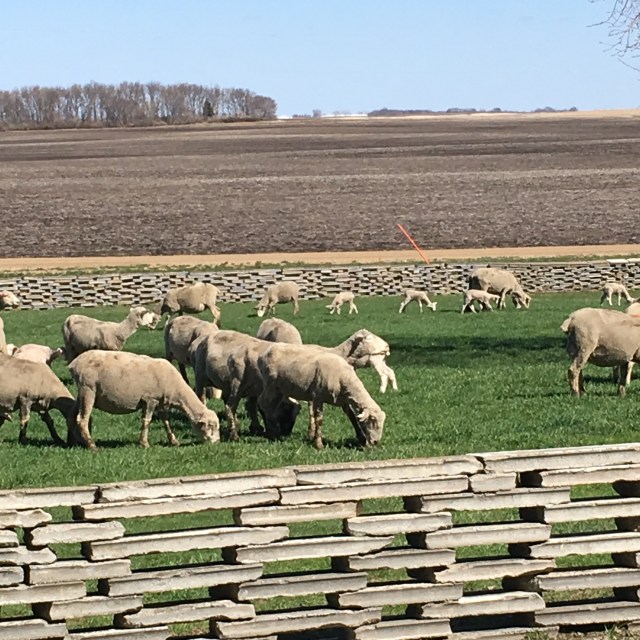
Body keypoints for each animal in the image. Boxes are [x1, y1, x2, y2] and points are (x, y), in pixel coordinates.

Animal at [69, 350, 220, 450]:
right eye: (211, 426)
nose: (217, 442)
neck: (176, 390)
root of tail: (74, 363)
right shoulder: (150, 399)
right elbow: (146, 421)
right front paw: (144, 443)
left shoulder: (162, 403)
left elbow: (166, 422)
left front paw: (173, 441)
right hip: (88, 389)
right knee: (82, 419)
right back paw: (92, 445)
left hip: (81, 392)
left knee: (72, 415)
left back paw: (74, 441)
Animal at [257, 343, 385, 449]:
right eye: (372, 421)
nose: (375, 442)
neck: (344, 378)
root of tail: (264, 354)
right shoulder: (318, 397)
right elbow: (319, 420)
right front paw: (319, 444)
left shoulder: (344, 401)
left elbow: (353, 417)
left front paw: (362, 438)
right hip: (271, 385)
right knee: (264, 404)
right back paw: (273, 433)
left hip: (280, 390)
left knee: (271, 406)